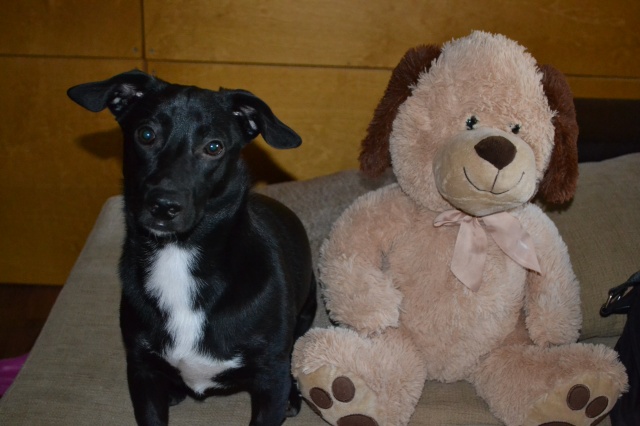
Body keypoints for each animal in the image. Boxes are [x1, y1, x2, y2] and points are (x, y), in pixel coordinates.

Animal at [67, 70, 317, 426]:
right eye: (146, 134)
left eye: (214, 146)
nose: (163, 206)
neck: (179, 255)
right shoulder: (141, 371)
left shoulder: (270, 378)